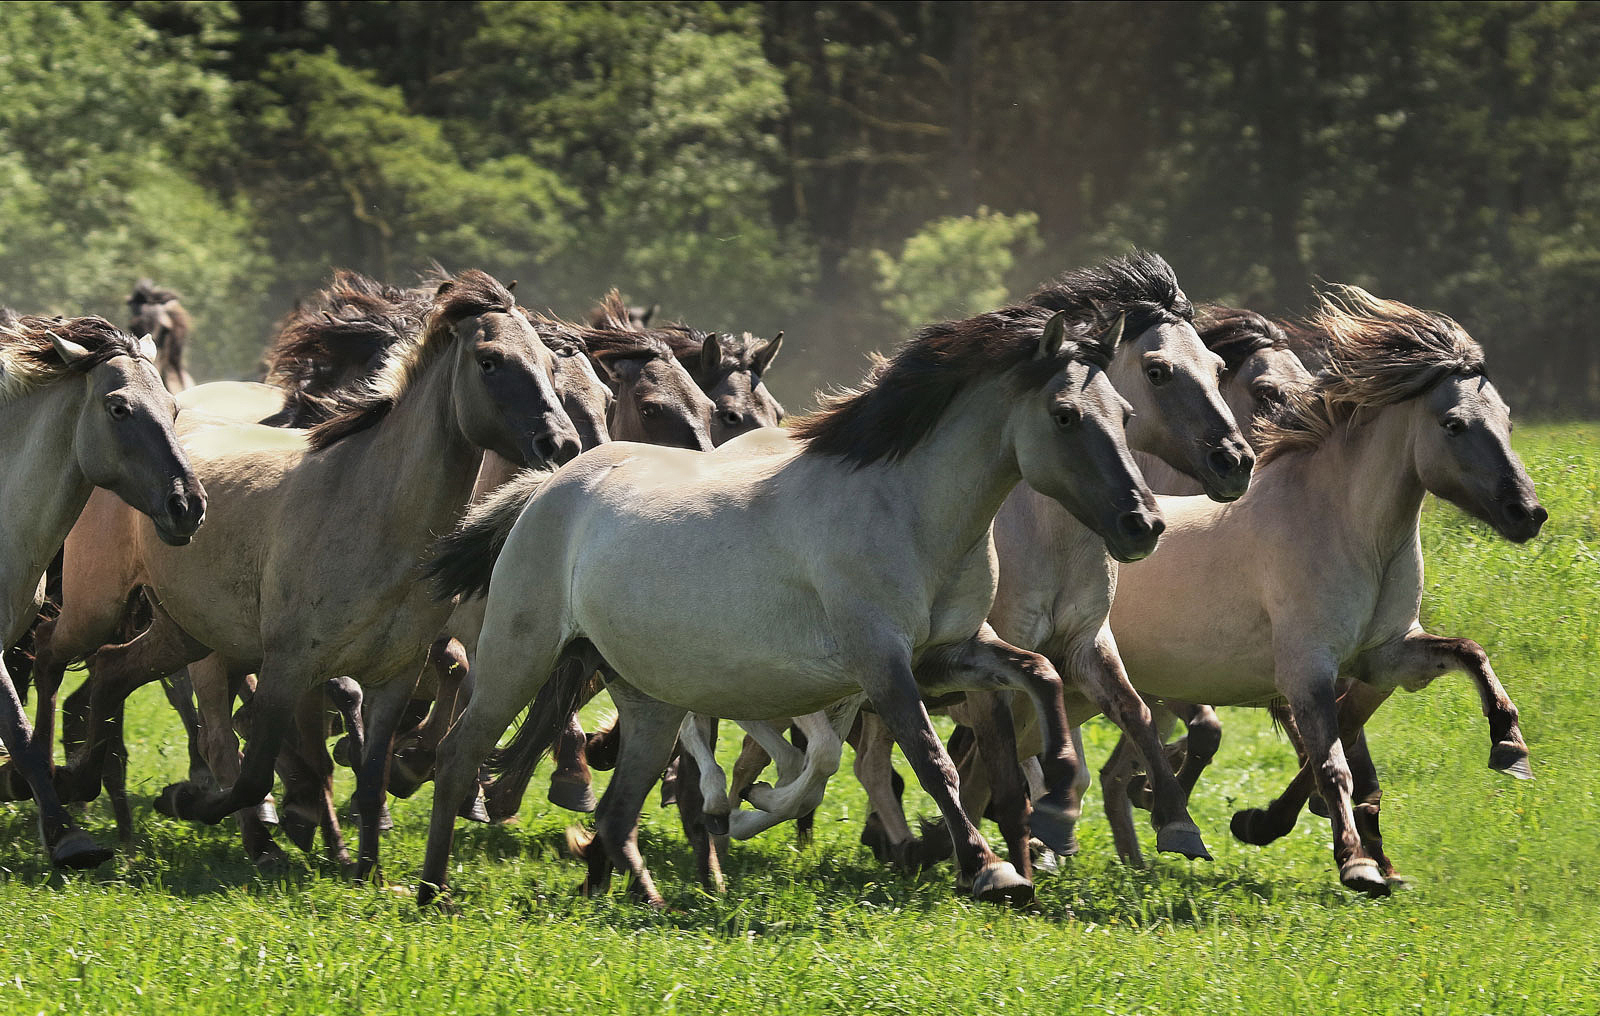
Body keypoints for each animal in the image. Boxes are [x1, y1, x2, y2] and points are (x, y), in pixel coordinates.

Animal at [31, 272, 579, 883]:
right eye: (490, 361)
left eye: (549, 364)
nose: (561, 444)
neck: (373, 512)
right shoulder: (289, 665)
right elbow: (254, 774)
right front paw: (196, 804)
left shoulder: (395, 676)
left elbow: (370, 779)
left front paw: (369, 874)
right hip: (98, 607)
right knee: (50, 659)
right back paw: (56, 799)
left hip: (184, 632)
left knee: (109, 671)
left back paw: (83, 784)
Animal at [419, 289, 1158, 908]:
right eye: (1065, 416)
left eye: (1124, 414)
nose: (1143, 524)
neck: (906, 509)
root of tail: (549, 485)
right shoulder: (880, 662)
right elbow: (930, 758)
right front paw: (990, 869)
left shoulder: (946, 653)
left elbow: (1041, 672)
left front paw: (1058, 793)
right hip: (520, 655)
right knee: (458, 757)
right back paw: (434, 891)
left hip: (647, 699)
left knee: (618, 807)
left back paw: (631, 894)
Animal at [1094, 288, 1542, 896]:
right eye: (1453, 424)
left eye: (1509, 421)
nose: (1528, 513)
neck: (1353, 533)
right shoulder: (1307, 671)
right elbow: (1333, 766)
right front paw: (1355, 864)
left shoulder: (1386, 657)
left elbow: (1467, 653)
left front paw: (1508, 743)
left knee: (1111, 768)